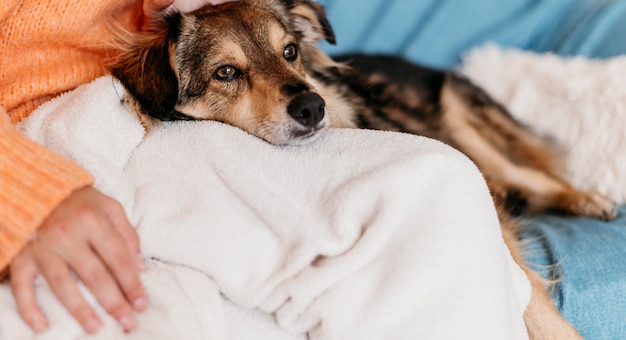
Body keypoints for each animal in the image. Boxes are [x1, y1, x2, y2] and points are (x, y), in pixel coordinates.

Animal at [111, 1, 616, 338]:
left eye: (289, 52)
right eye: (226, 73)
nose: (313, 107)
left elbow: (529, 288)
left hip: (459, 117)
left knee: (526, 174)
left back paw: (587, 199)